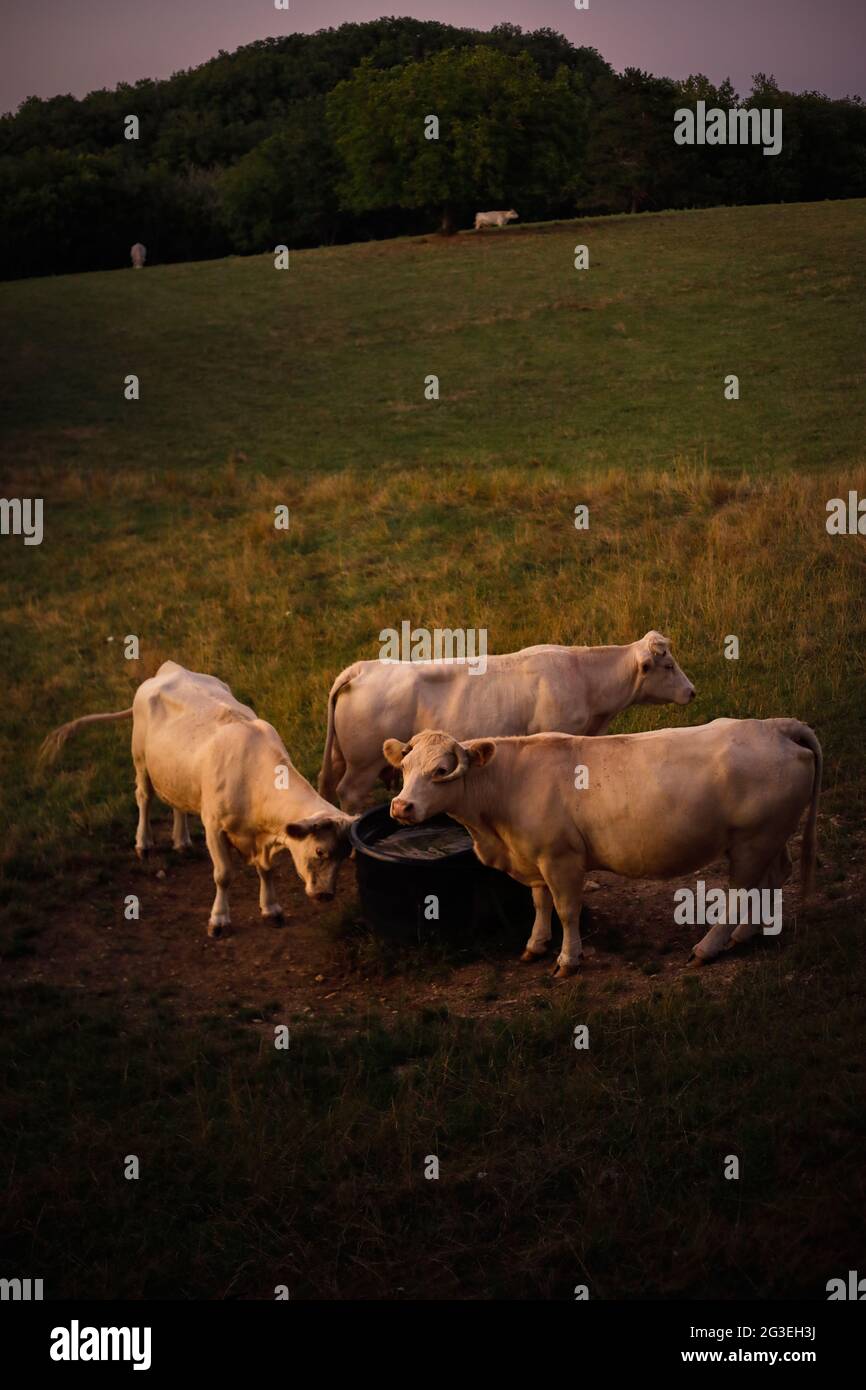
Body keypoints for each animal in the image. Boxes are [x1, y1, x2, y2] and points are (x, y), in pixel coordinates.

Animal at [40, 661, 355, 937]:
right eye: (320, 851)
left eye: (345, 854)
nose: (326, 895)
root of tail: (169, 669)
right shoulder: (214, 826)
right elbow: (223, 874)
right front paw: (219, 921)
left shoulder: (262, 837)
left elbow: (266, 870)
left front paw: (271, 909)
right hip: (140, 759)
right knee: (144, 797)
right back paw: (144, 844)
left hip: (176, 773)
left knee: (176, 802)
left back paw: (181, 842)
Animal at [384, 718, 822, 979]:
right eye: (404, 768)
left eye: (441, 770)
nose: (401, 807)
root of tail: (774, 726)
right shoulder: (533, 855)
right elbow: (540, 903)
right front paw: (535, 945)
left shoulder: (561, 858)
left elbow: (566, 910)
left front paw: (567, 959)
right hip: (766, 838)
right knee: (771, 878)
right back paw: (748, 933)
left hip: (753, 839)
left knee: (741, 892)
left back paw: (709, 947)